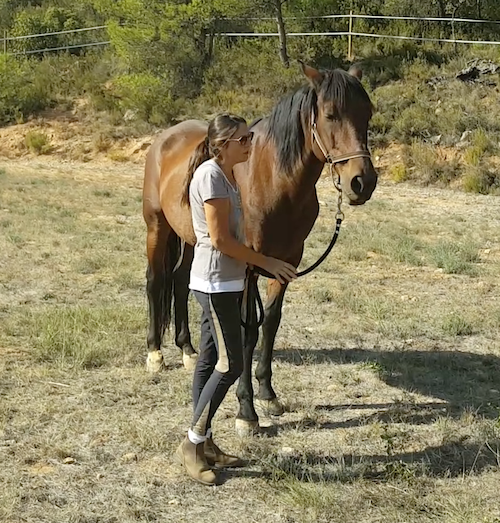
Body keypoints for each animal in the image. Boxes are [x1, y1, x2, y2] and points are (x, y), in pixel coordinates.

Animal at [143, 62, 376, 434]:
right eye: (330, 114)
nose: (362, 182)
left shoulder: (286, 263)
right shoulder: (248, 268)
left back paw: (187, 351)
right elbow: (246, 331)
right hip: (157, 226)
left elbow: (271, 323)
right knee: (155, 281)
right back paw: (155, 355)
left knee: (180, 282)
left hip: (192, 238)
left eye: (367, 113)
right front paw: (246, 411)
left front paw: (268, 395)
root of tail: (167, 137)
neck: (272, 180)